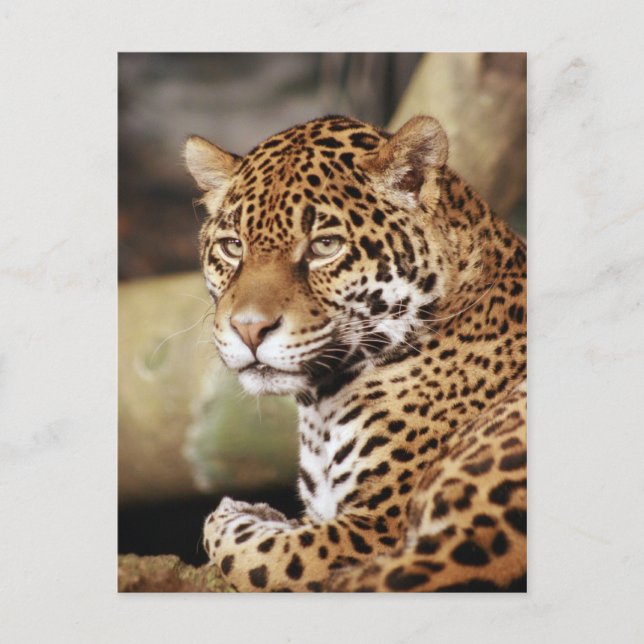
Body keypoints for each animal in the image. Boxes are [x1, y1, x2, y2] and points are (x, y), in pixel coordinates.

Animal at [183, 114, 527, 592]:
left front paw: (242, 512)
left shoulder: (373, 531)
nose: (249, 329)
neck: (320, 406)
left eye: (325, 246)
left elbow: (259, 556)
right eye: (233, 246)